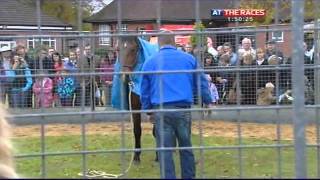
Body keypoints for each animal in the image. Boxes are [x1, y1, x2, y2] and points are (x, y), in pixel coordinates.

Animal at [111, 35, 159, 163]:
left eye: (133, 49)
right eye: (118, 49)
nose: (124, 75)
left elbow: (156, 131)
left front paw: (158, 156)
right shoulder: (135, 106)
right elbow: (137, 130)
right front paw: (136, 156)